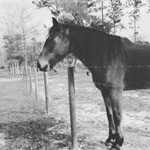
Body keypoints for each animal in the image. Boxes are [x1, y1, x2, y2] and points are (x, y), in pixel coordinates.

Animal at [37, 17, 150, 150]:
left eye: (54, 38)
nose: (40, 64)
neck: (107, 56)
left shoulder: (115, 92)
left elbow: (117, 115)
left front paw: (118, 143)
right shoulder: (105, 92)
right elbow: (109, 114)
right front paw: (110, 139)